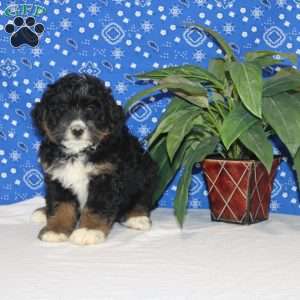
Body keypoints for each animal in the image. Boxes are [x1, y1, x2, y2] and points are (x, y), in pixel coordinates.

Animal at [31, 74, 157, 245]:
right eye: (62, 109)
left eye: (91, 109)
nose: (77, 130)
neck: (78, 152)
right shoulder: (56, 178)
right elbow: (61, 205)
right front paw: (55, 229)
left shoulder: (106, 179)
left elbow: (96, 206)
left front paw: (88, 230)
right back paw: (43, 212)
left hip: (146, 173)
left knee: (142, 199)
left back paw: (137, 217)